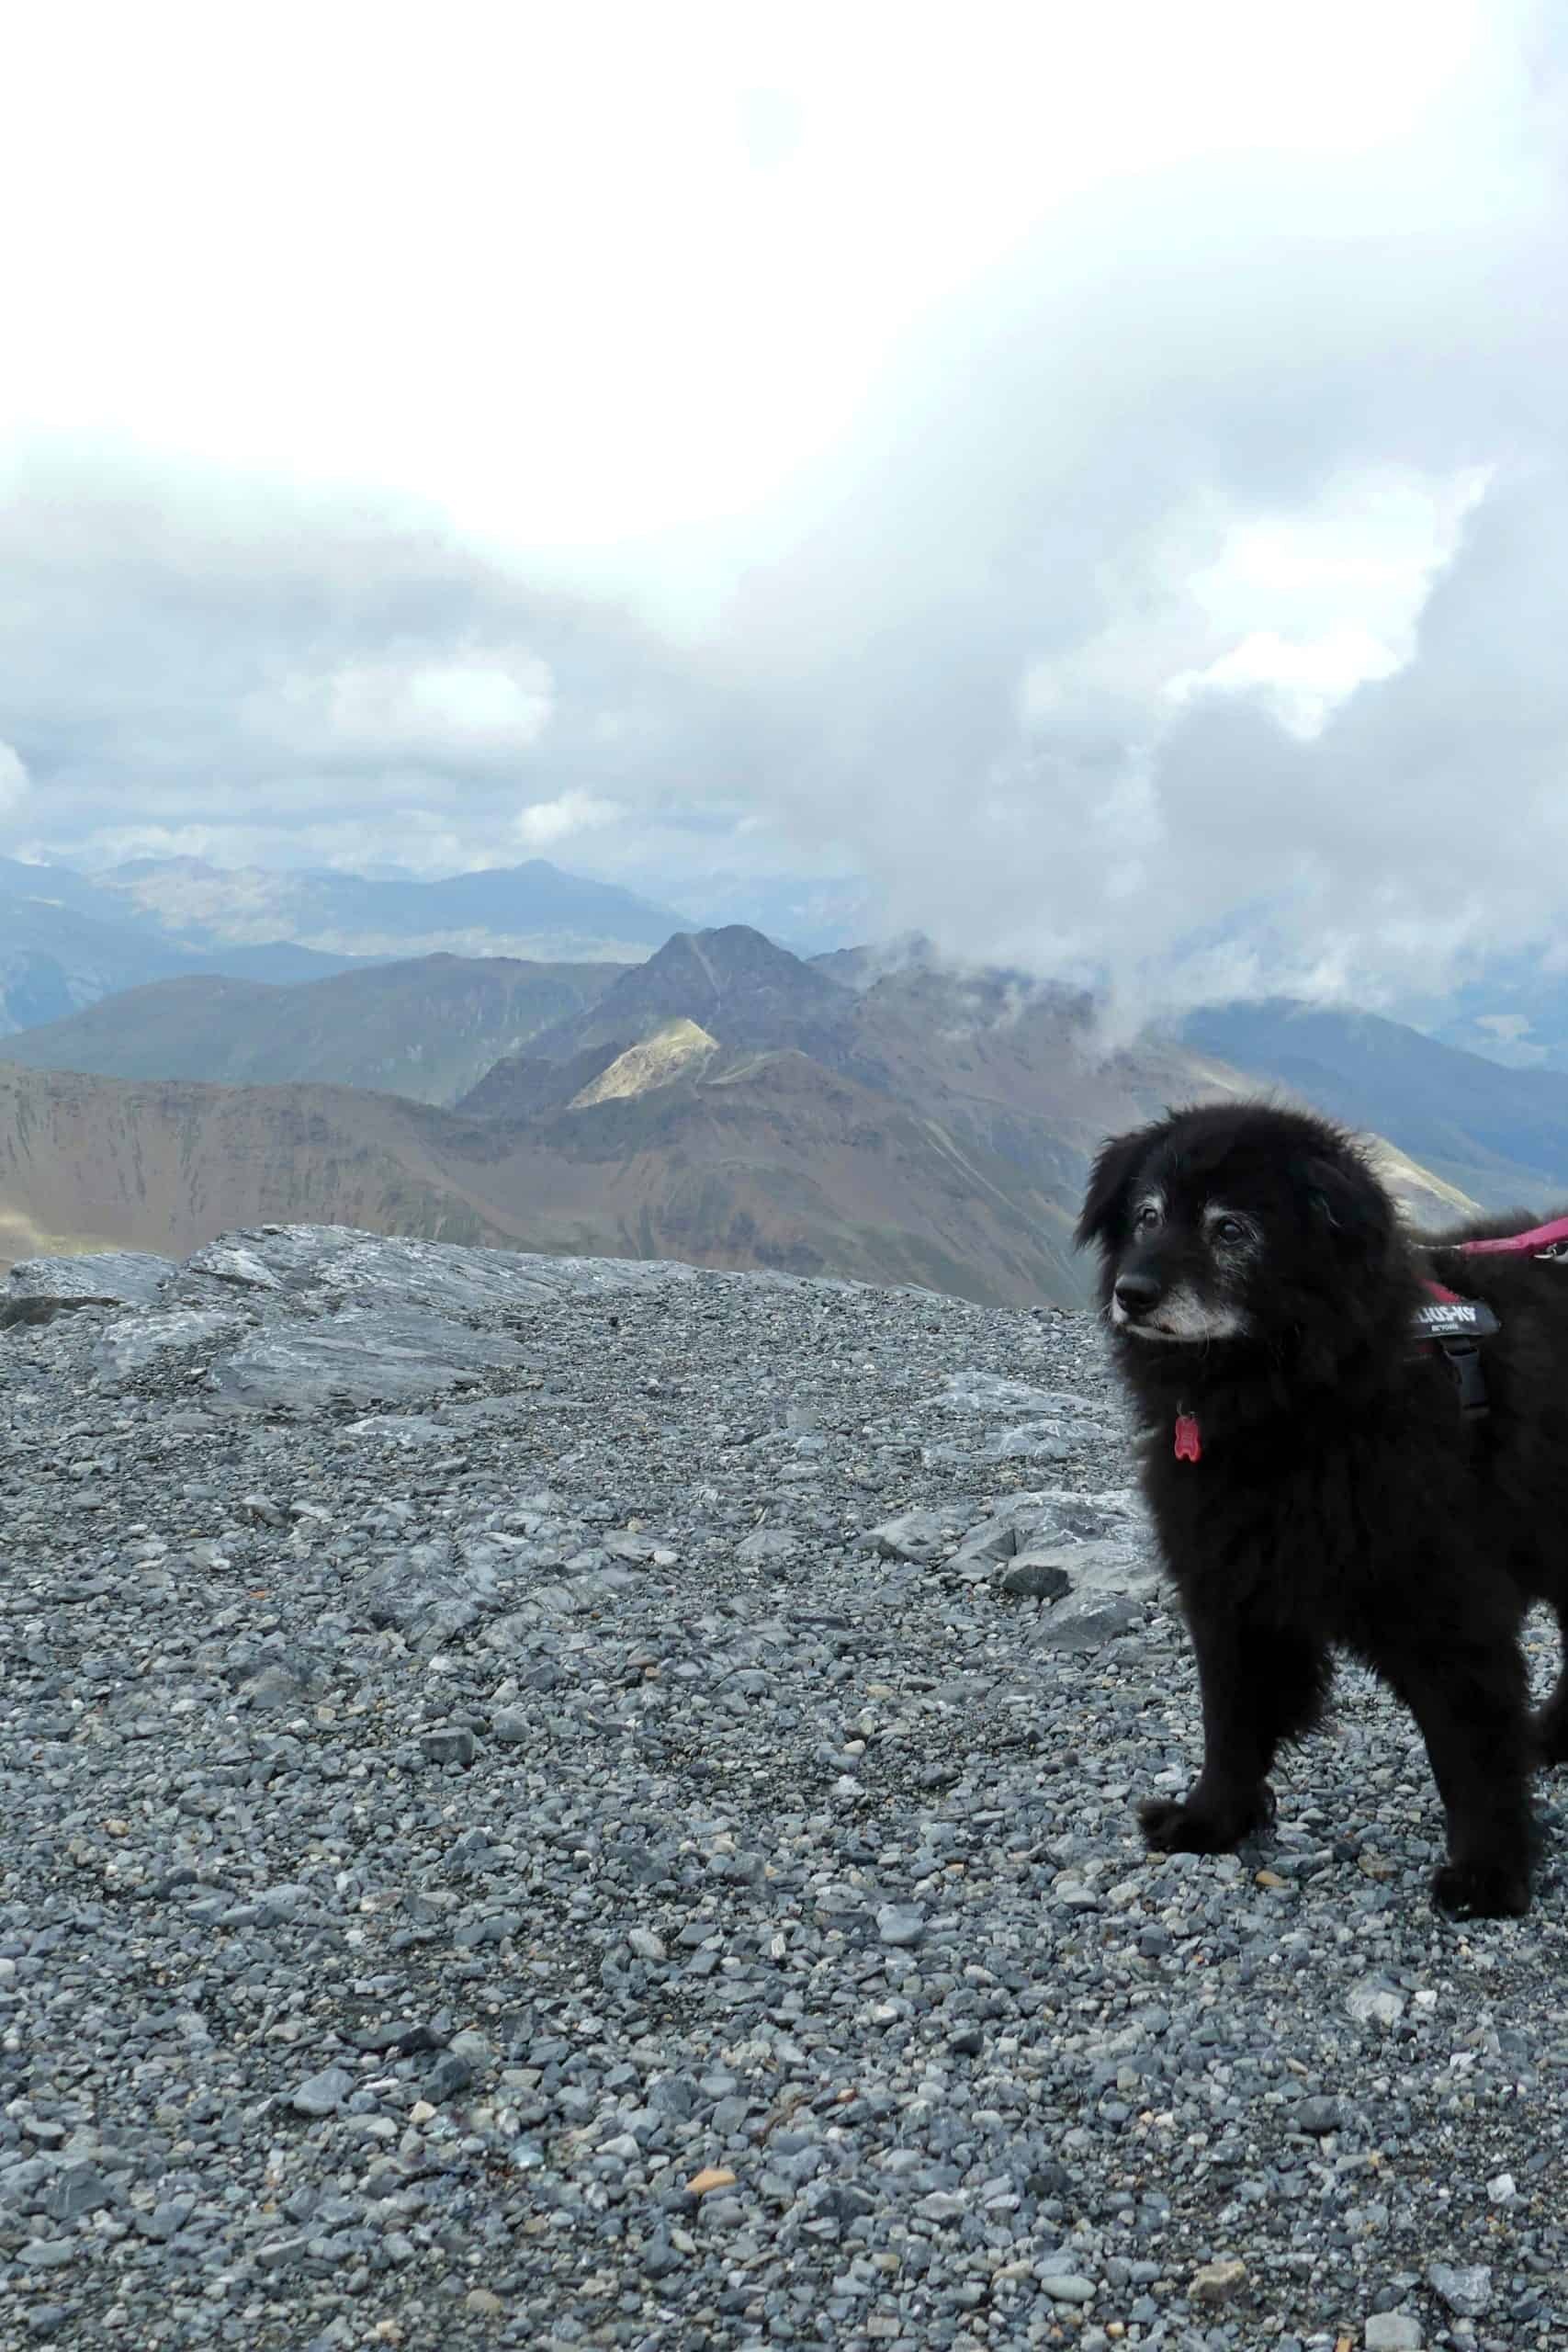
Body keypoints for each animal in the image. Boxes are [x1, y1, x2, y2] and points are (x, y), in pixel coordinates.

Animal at [1076, 1098, 1568, 1918]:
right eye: (1146, 1216)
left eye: (1230, 1229)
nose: (1132, 1293)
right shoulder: (1229, 1592)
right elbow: (1230, 1724)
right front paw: (1210, 1821)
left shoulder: (1446, 1613)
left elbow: (1469, 1753)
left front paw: (1488, 1874)